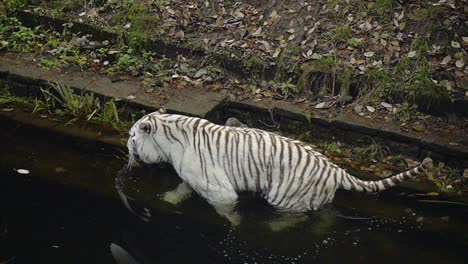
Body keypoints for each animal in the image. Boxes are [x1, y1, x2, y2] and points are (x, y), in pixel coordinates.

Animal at [126, 108, 434, 226]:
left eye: (131, 136)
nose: (127, 145)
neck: (169, 140)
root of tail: (335, 169)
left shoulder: (219, 190)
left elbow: (227, 209)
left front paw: (235, 224)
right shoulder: (193, 180)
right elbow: (180, 191)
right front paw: (165, 200)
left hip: (286, 197)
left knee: (293, 218)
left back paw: (272, 227)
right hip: (318, 198)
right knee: (325, 217)